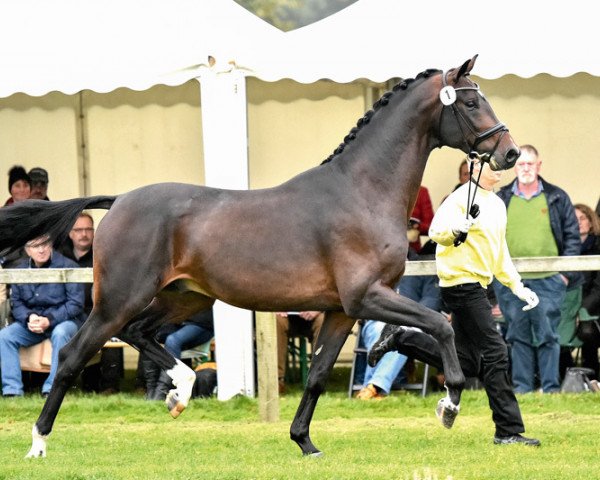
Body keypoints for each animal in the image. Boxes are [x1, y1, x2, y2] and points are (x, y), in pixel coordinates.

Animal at [0, 54, 516, 456]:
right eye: (471, 101)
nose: (509, 153)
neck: (363, 192)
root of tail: (119, 200)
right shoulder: (367, 296)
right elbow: (440, 326)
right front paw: (449, 405)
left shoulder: (341, 310)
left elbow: (317, 375)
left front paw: (304, 442)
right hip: (118, 299)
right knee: (73, 355)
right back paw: (38, 443)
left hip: (183, 297)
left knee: (140, 333)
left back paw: (180, 391)